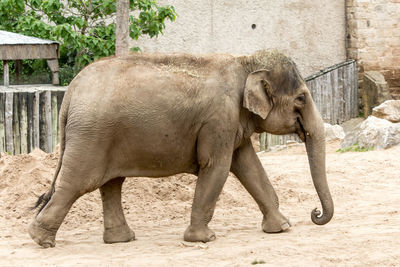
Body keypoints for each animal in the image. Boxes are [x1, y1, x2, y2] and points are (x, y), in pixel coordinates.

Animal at [28, 49, 334, 249]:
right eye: (301, 98)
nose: (315, 214)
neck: (245, 63)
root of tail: (70, 92)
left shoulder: (231, 123)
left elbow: (248, 166)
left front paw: (282, 227)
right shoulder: (218, 120)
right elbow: (217, 167)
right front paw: (204, 239)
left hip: (103, 136)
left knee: (111, 184)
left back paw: (121, 239)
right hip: (91, 136)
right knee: (79, 183)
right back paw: (40, 240)